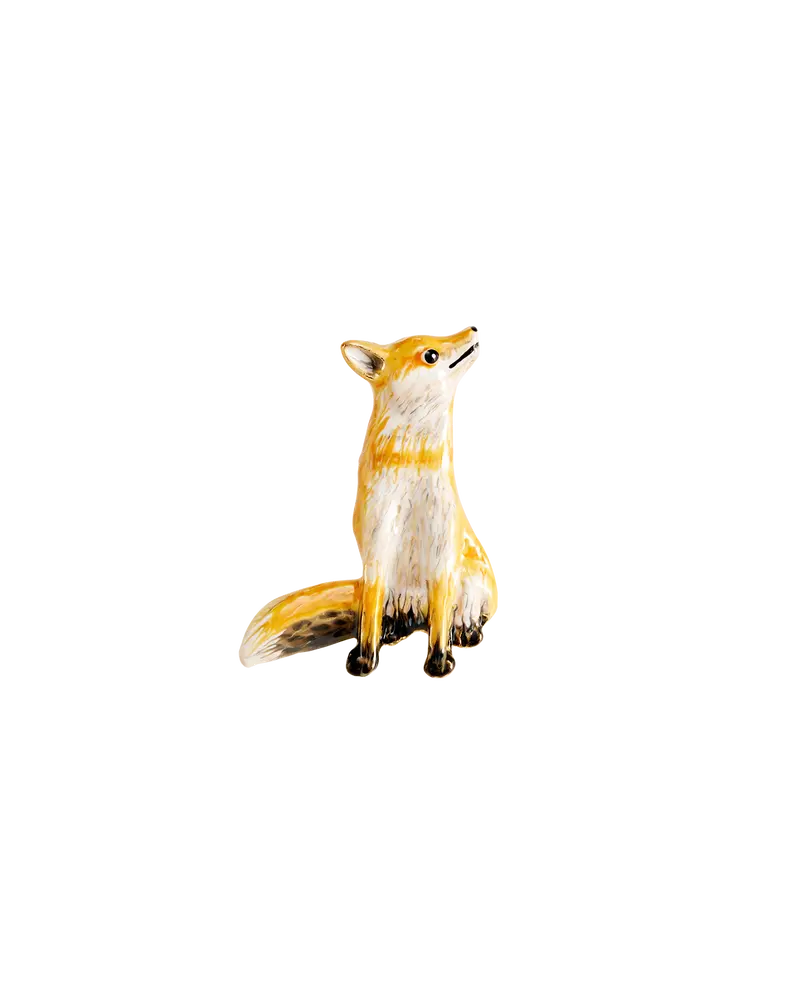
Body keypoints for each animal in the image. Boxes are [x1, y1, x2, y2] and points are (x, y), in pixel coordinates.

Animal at [240, 326, 501, 680]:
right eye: (430, 354)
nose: (474, 328)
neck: (411, 466)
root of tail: (414, 612)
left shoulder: (441, 552)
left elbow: (440, 624)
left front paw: (437, 663)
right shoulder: (378, 546)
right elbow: (368, 619)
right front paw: (365, 659)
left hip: (473, 583)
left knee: (457, 616)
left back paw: (466, 631)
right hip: (396, 591)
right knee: (390, 618)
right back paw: (391, 632)